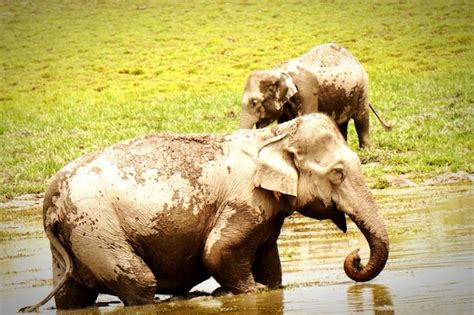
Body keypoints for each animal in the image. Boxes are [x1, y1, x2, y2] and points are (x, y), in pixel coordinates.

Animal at [19, 114, 388, 314]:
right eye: (338, 174)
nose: (355, 255)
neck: (273, 134)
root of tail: (50, 202)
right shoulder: (244, 200)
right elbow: (218, 253)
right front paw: (240, 293)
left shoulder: (267, 214)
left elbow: (271, 267)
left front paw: (264, 289)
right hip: (97, 232)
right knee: (140, 284)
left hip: (75, 242)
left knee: (70, 296)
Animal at [239, 42, 390, 149]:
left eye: (254, 102)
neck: (278, 70)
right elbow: (284, 124)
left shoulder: (307, 92)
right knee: (342, 123)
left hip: (362, 89)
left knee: (361, 119)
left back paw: (365, 150)